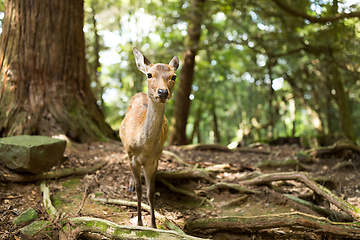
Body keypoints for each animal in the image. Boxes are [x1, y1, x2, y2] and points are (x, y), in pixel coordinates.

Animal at [120, 47, 179, 229]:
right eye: (149, 74)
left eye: (174, 76)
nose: (163, 92)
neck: (144, 147)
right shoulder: (132, 156)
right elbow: (140, 190)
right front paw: (139, 222)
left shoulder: (154, 160)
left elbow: (150, 192)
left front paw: (153, 225)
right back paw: (131, 183)